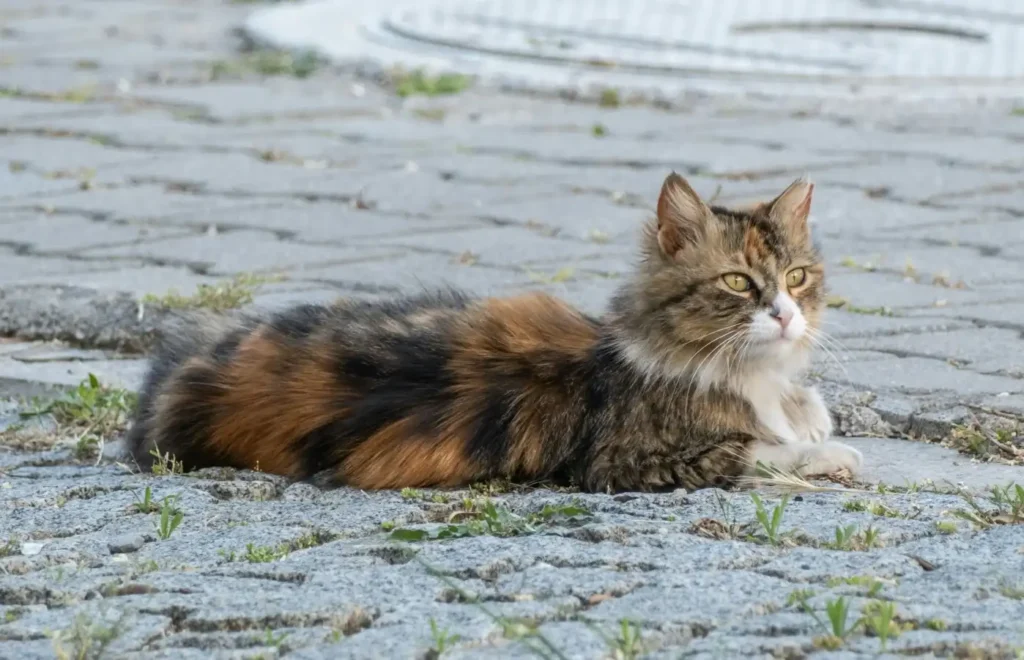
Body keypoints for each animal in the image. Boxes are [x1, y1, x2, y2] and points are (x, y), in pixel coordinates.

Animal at [128, 172, 864, 491]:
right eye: (737, 283)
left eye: (797, 276)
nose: (786, 314)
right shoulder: (633, 462)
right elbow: (763, 451)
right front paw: (827, 452)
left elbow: (804, 412)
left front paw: (810, 416)